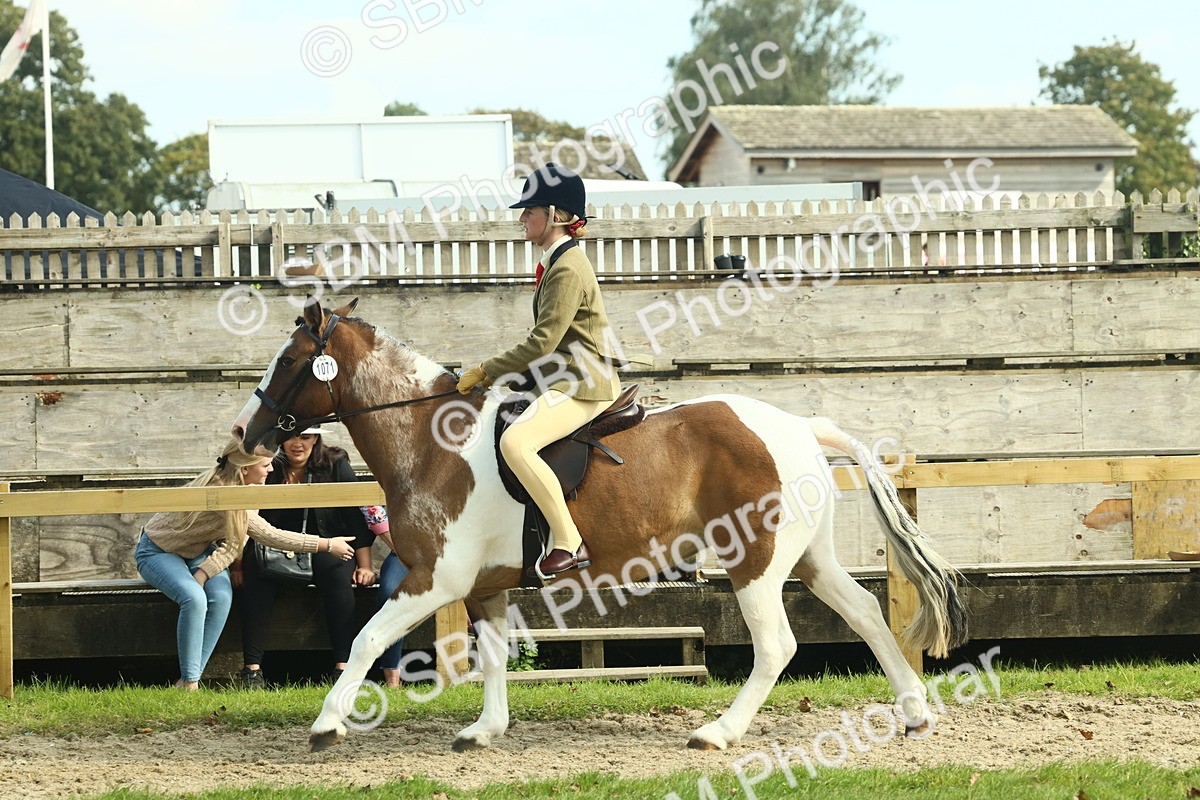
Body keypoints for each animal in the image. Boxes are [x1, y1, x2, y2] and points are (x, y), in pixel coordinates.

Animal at [231, 297, 968, 753]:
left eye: (290, 361)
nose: (244, 433)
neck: (433, 439)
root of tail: (798, 425)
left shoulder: (435, 578)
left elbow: (365, 640)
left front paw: (328, 724)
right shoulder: (483, 584)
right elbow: (491, 655)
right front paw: (484, 731)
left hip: (754, 562)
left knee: (777, 646)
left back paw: (718, 733)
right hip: (808, 558)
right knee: (867, 614)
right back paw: (914, 713)